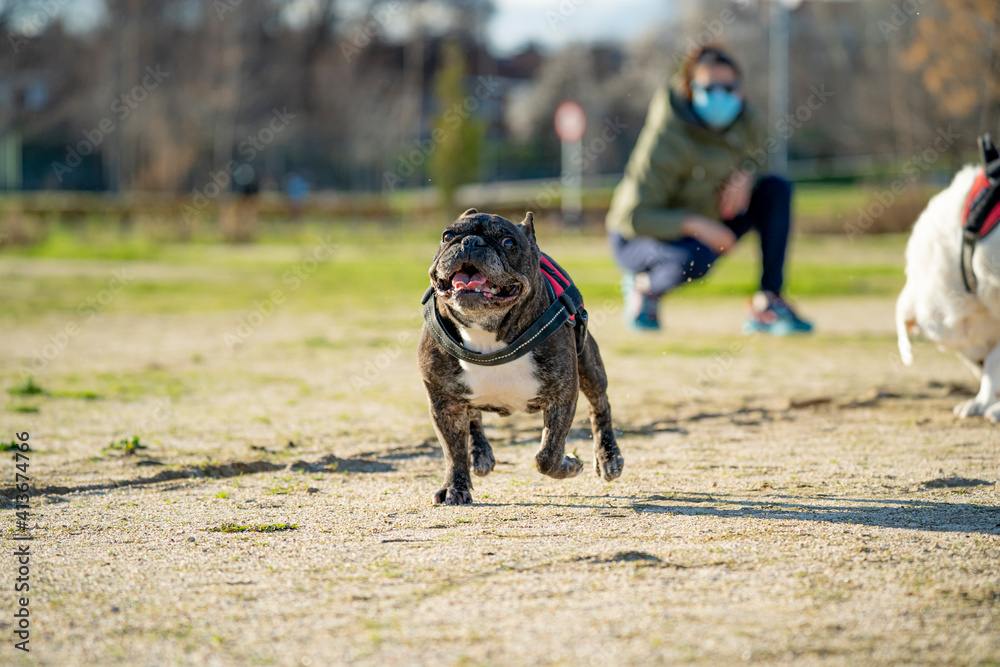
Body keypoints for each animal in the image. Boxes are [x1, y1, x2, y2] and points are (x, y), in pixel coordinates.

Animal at [418, 209, 625, 505]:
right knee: (472, 417)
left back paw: (609, 458)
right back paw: (479, 453)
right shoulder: (443, 402)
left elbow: (548, 454)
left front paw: (570, 464)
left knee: (600, 407)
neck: (486, 332)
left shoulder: (562, 395)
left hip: (589, 365)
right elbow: (452, 451)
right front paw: (455, 487)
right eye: (447, 236)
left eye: (509, 243)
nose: (471, 242)